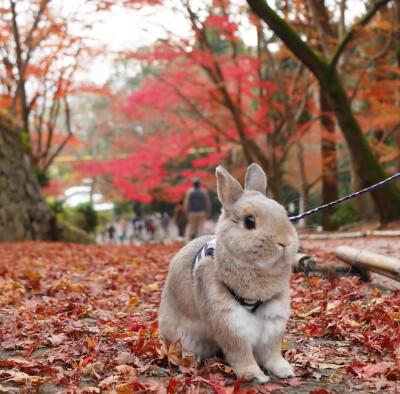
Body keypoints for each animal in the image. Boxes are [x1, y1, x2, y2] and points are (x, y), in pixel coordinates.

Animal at [158, 162, 298, 382]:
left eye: (285, 215)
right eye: (249, 221)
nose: (284, 242)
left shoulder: (273, 318)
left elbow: (271, 349)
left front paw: (284, 370)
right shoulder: (229, 320)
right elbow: (239, 351)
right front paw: (254, 375)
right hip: (181, 334)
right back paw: (192, 357)